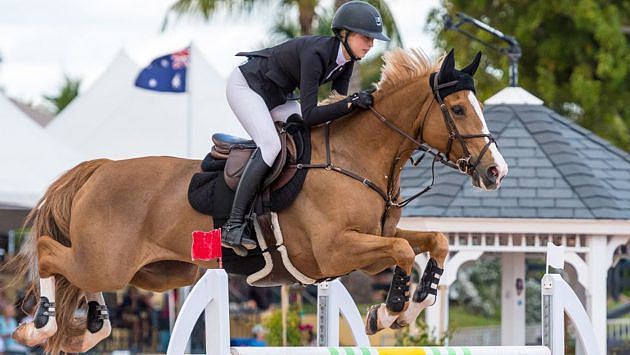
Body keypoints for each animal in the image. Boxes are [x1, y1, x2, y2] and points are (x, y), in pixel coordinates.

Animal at [6, 48, 508, 354]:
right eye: (458, 109)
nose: (496, 172)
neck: (356, 158)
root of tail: (101, 168)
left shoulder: (370, 242)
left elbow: (433, 241)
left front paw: (409, 305)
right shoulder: (336, 250)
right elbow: (404, 250)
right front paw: (390, 311)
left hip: (157, 272)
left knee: (78, 276)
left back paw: (91, 328)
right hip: (110, 261)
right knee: (49, 253)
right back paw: (40, 325)